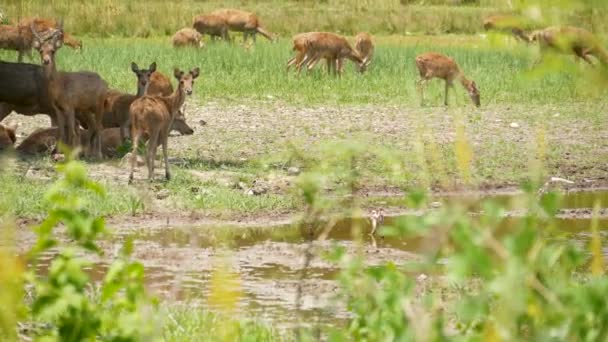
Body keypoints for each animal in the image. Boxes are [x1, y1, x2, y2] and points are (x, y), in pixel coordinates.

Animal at [30, 23, 108, 158]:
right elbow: (61, 131)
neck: (60, 86)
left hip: (99, 104)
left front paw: (71, 155)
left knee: (99, 126)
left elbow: (72, 131)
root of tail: (105, 82)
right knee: (92, 126)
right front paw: (57, 153)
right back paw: (88, 153)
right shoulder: (58, 108)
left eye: (53, 51)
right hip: (85, 108)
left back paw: (98, 154)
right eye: (41, 51)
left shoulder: (70, 105)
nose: (46, 61)